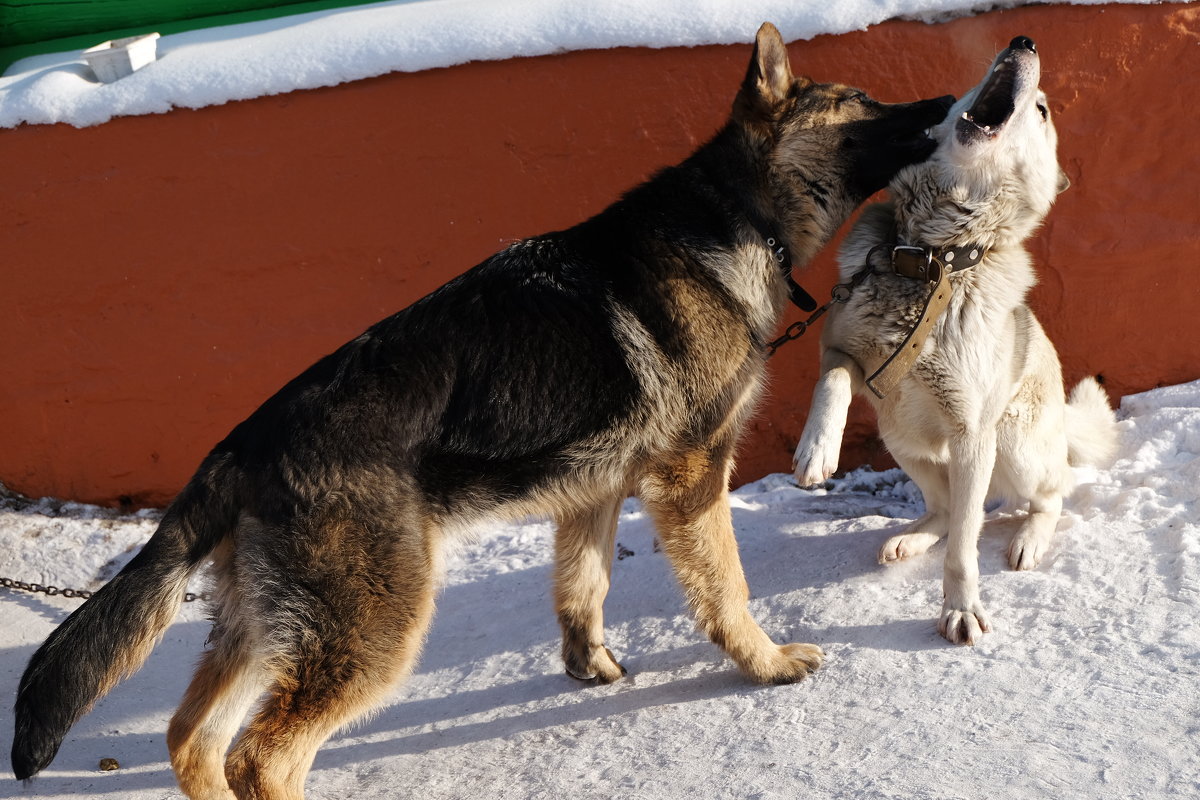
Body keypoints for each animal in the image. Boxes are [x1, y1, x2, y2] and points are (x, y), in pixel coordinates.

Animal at [7, 25, 945, 800]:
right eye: (863, 104)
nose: (947, 106)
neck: (734, 215)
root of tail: (242, 446)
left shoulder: (593, 492)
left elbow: (583, 587)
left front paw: (591, 666)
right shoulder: (691, 480)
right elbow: (727, 589)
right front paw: (766, 663)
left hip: (269, 626)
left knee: (191, 738)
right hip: (374, 627)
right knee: (260, 756)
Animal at [796, 37, 1113, 642]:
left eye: (1043, 111)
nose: (1023, 42)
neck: (933, 258)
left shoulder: (972, 436)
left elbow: (964, 549)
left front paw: (961, 610)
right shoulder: (841, 351)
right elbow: (832, 382)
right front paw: (816, 450)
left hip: (1013, 447)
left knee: (1051, 494)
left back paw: (1029, 539)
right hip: (899, 435)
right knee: (943, 507)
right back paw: (911, 536)